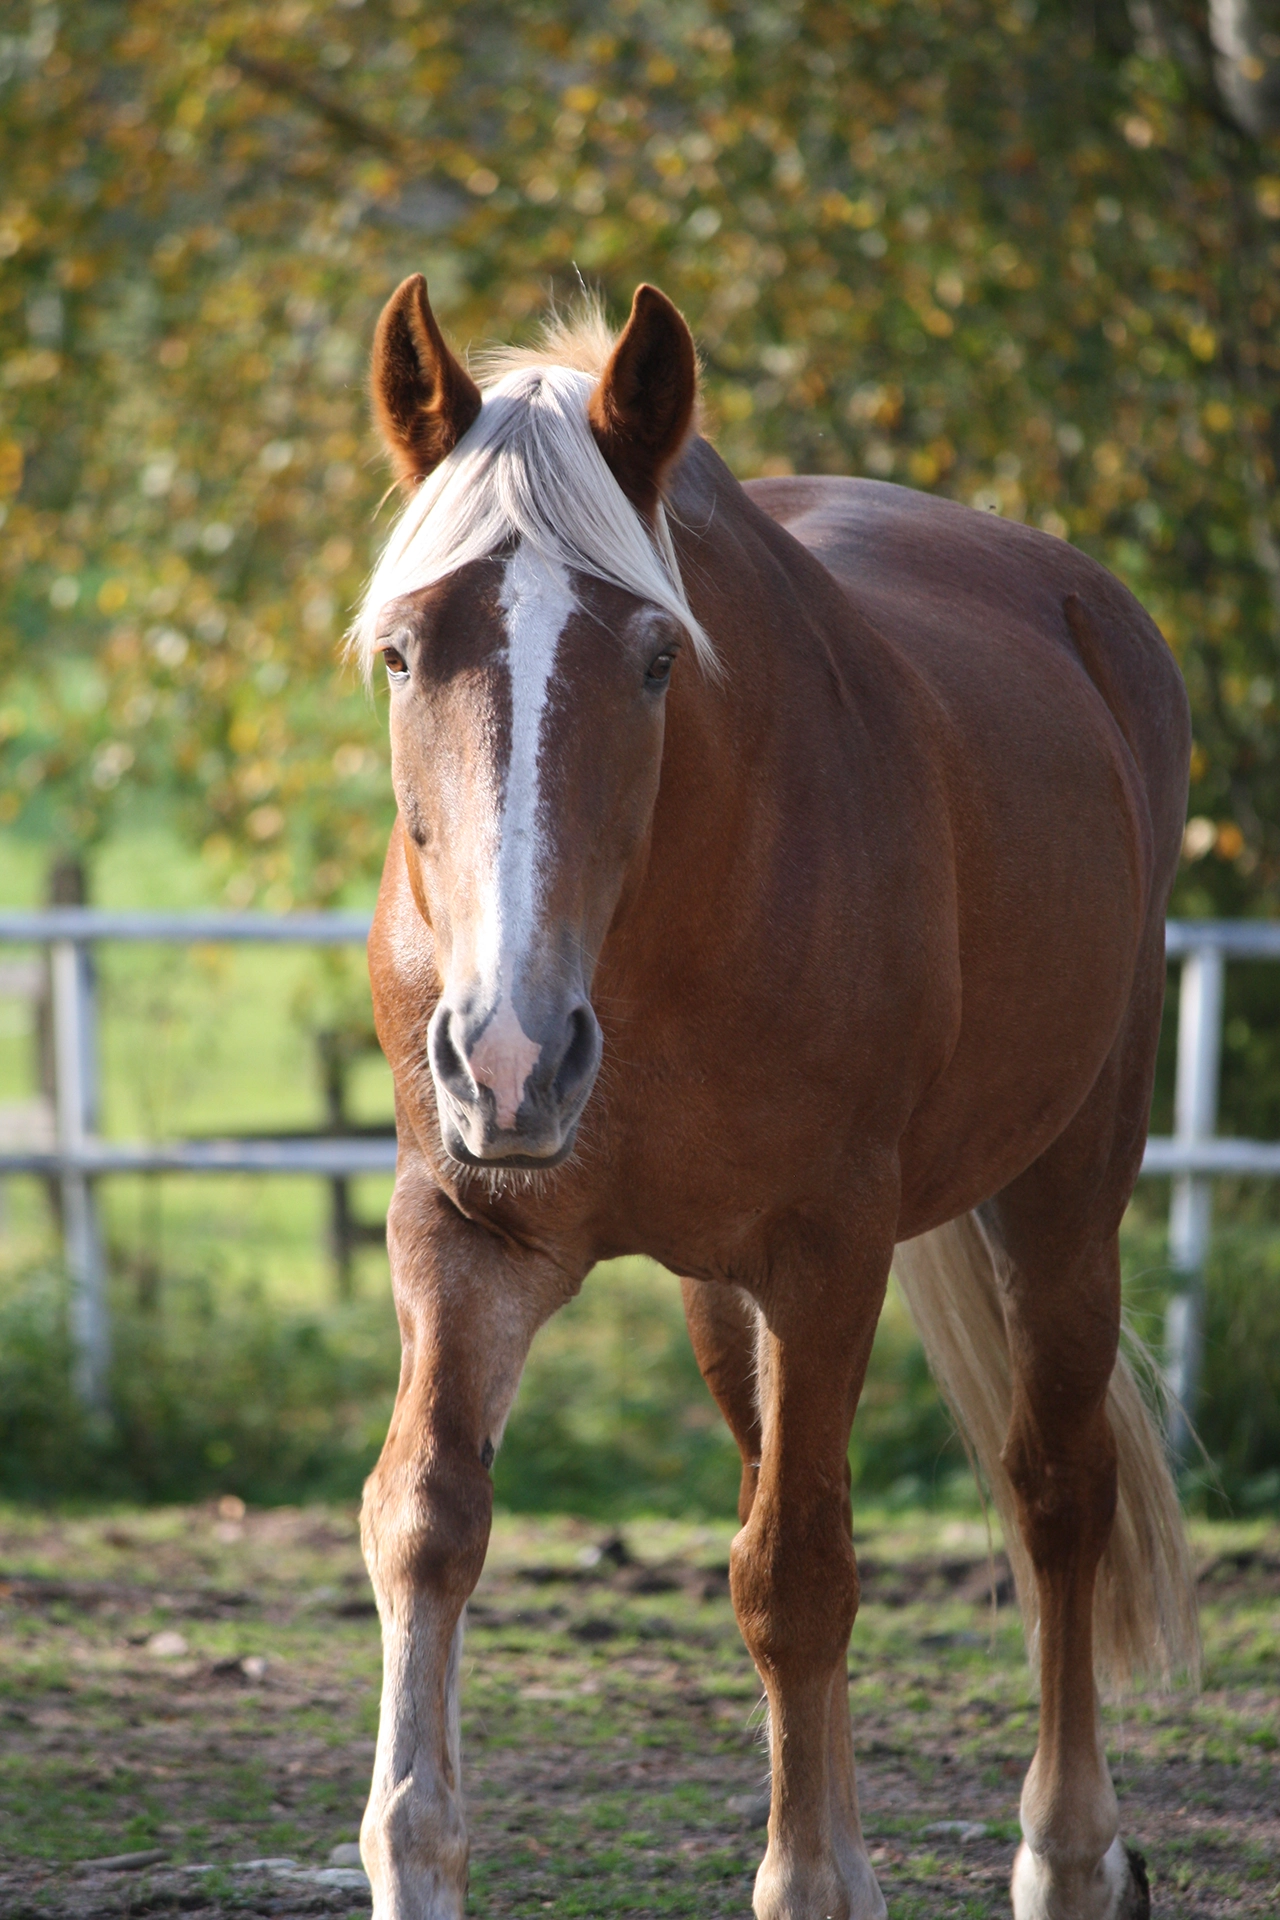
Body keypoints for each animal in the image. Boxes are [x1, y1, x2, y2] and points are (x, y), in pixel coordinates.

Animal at [349, 275, 1198, 1920]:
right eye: (408, 651)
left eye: (655, 658)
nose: (512, 1055)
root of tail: (1088, 608)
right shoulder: (467, 1227)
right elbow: (425, 1518)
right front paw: (413, 1845)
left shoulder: (827, 1249)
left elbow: (795, 1575)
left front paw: (813, 1874)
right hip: (718, 1289)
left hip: (1068, 1188)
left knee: (1052, 1494)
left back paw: (1068, 1853)